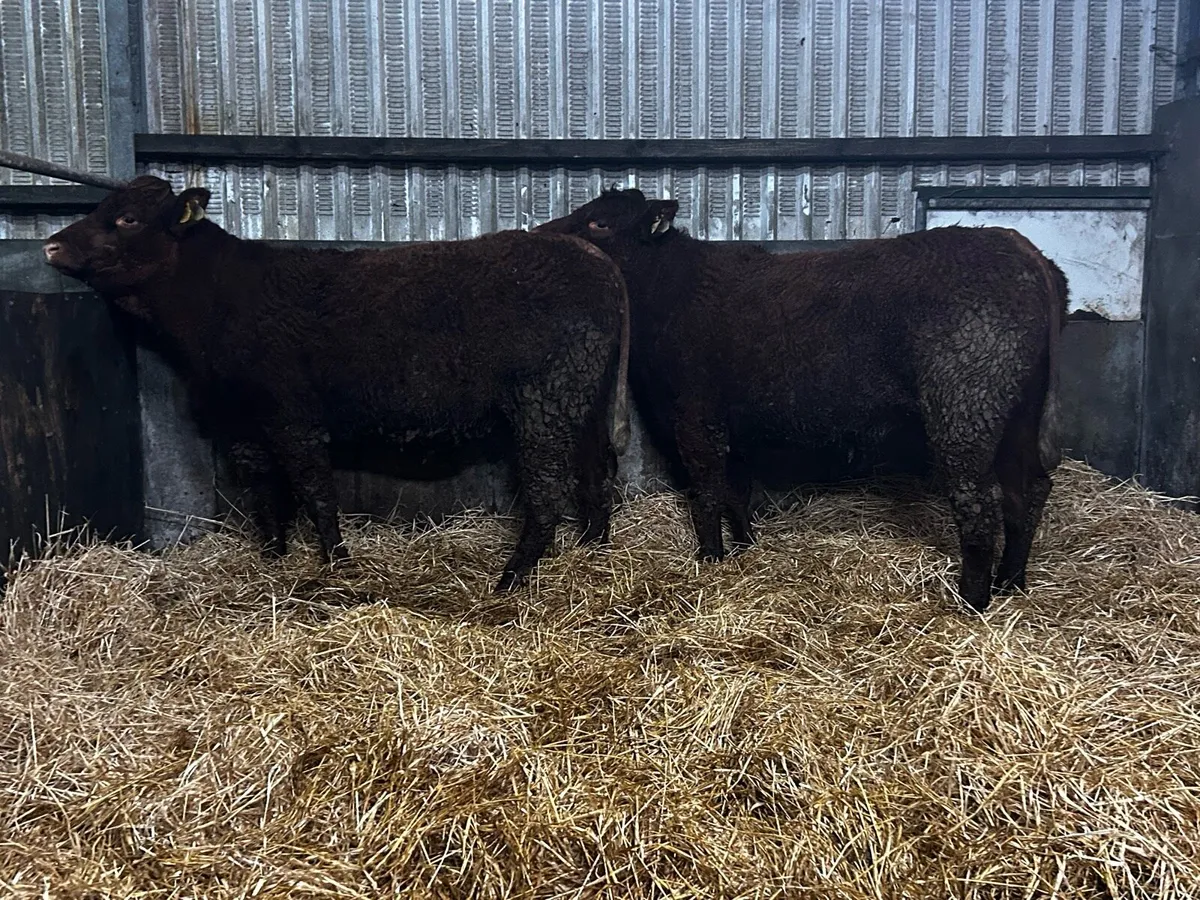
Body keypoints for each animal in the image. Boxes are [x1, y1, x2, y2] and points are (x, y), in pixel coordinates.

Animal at [42, 175, 631, 592]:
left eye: (127, 218)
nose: (50, 246)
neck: (220, 300)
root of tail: (594, 258)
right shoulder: (243, 422)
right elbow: (265, 493)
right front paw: (273, 558)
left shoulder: (292, 416)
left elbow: (314, 492)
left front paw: (335, 562)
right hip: (583, 398)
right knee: (596, 475)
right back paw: (594, 552)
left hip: (545, 399)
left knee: (547, 491)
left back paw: (513, 577)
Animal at [535, 187, 1067, 613]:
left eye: (600, 223)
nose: (542, 235)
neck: (670, 287)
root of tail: (1025, 253)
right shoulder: (733, 419)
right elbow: (737, 490)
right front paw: (744, 548)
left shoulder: (696, 415)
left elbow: (707, 492)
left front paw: (709, 559)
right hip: (1016, 409)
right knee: (1028, 491)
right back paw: (1012, 582)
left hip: (967, 402)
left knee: (978, 505)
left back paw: (971, 602)